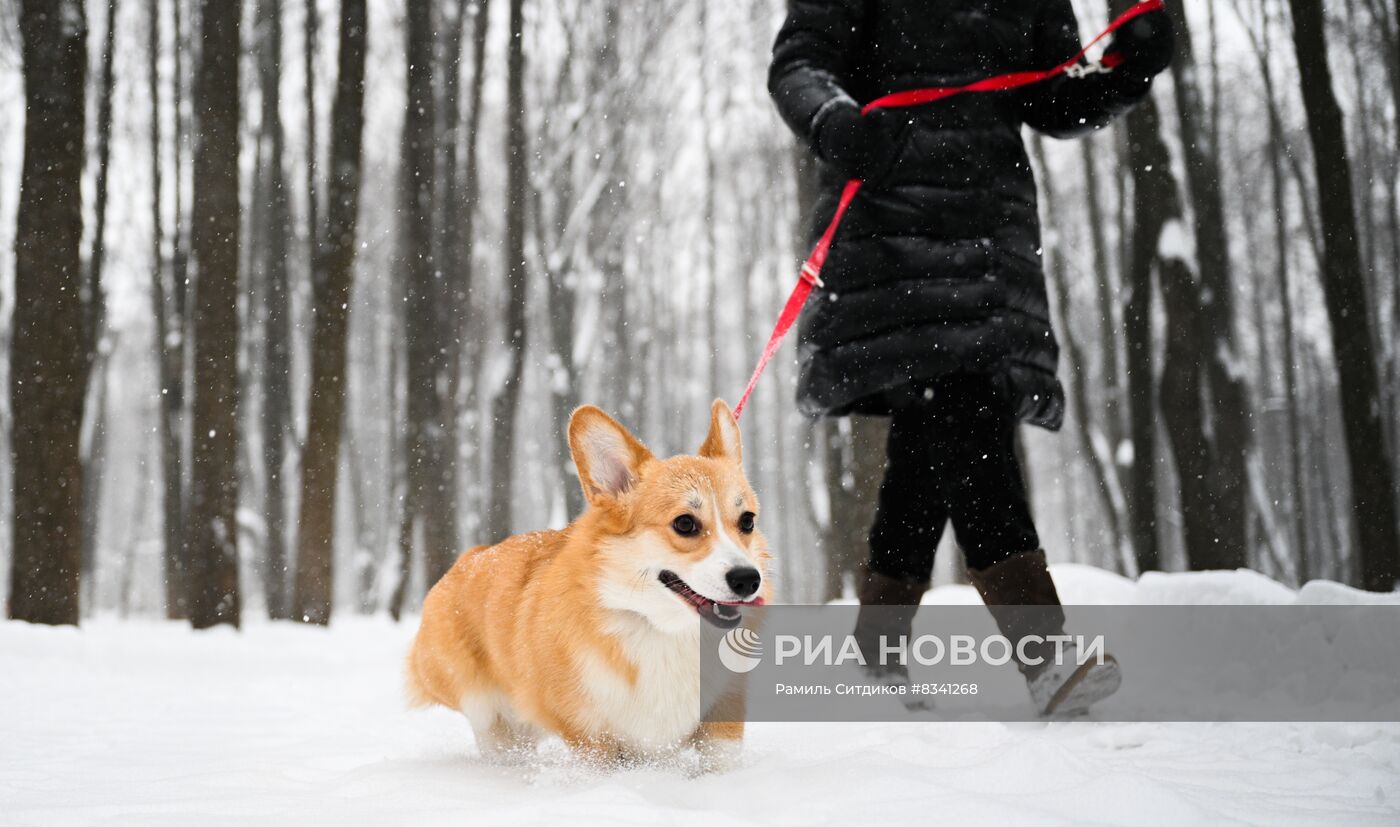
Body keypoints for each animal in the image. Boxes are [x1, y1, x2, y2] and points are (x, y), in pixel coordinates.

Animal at [406, 405, 778, 772]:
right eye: (685, 524)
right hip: (488, 713)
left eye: (747, 521)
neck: (661, 630)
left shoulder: (724, 715)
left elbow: (720, 761)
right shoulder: (590, 737)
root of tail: (470, 557)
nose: (748, 579)